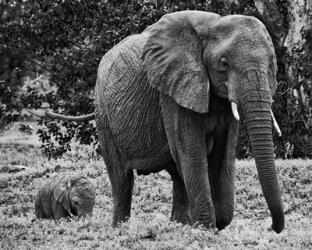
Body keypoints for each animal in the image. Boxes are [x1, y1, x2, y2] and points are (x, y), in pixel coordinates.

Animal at [37, 10, 284, 233]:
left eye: (272, 64)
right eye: (224, 64)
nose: (273, 227)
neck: (212, 25)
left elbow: (223, 154)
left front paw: (212, 223)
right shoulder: (171, 91)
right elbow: (192, 153)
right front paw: (205, 228)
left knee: (176, 171)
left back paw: (178, 224)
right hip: (103, 112)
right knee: (122, 178)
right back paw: (121, 228)